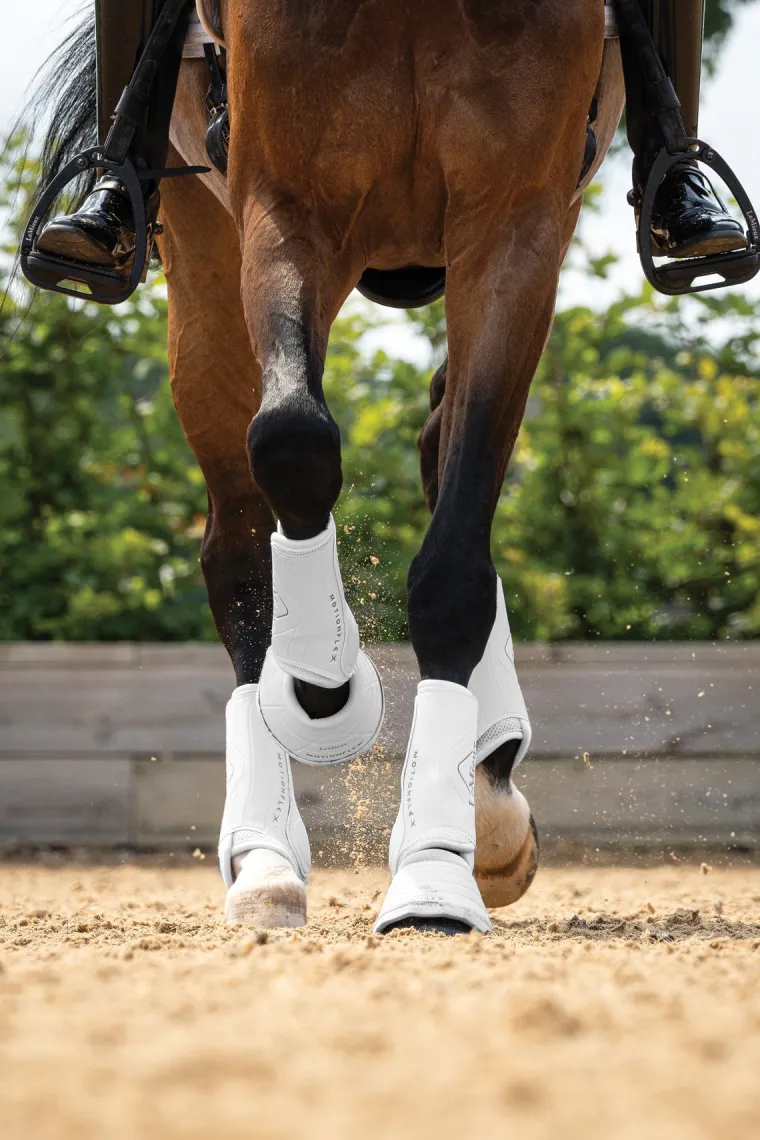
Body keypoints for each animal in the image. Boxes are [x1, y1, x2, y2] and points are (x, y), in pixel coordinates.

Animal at [30, 0, 625, 932]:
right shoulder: (286, 210)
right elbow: (293, 438)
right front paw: (324, 686)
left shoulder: (517, 224)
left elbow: (455, 558)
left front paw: (437, 867)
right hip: (205, 257)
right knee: (237, 545)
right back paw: (265, 858)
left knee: (440, 452)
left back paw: (487, 794)